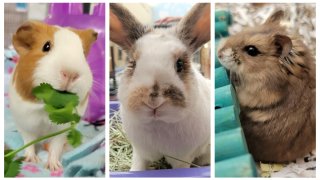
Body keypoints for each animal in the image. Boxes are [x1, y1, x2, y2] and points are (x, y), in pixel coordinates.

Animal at [110, 3, 210, 171]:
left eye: (180, 64)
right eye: (133, 64)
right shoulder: (140, 152)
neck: (157, 123)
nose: (153, 101)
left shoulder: (183, 158)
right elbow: (138, 166)